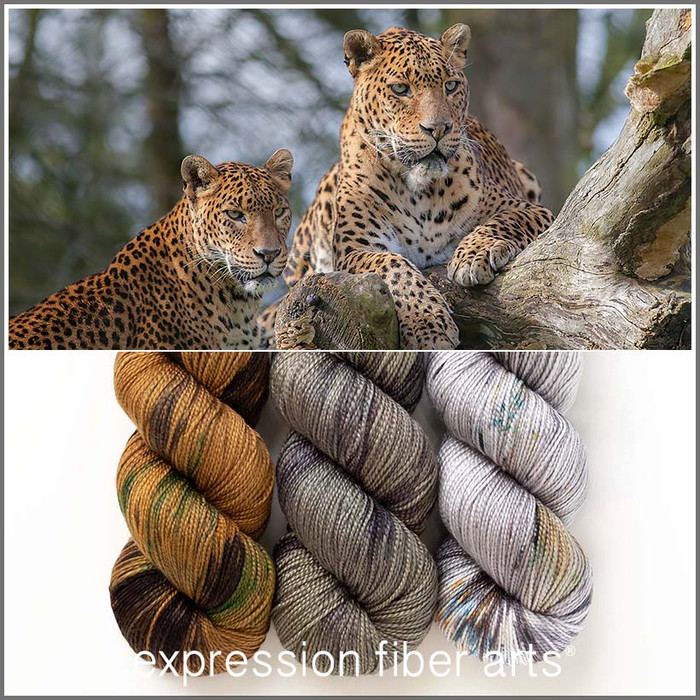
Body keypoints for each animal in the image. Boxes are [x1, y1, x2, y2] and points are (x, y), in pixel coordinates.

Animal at [262, 24, 554, 350]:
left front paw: (474, 253)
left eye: (451, 86)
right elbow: (392, 265)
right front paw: (427, 323)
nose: (439, 129)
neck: (420, 191)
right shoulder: (354, 250)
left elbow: (503, 221)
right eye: (401, 89)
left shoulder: (532, 209)